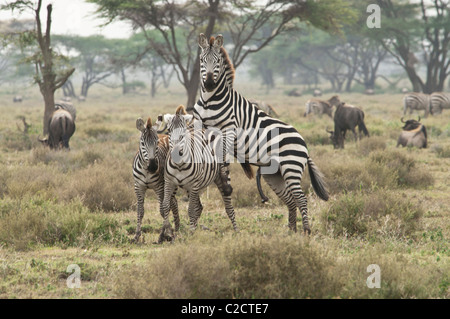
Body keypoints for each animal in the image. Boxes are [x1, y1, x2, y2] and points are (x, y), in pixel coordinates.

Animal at [160, 105, 241, 242]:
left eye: (183, 132)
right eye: (169, 130)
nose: (176, 152)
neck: (179, 164)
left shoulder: (193, 185)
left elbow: (191, 209)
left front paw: (191, 232)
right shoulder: (169, 182)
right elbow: (166, 205)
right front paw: (167, 233)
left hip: (220, 177)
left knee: (228, 206)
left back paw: (236, 230)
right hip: (192, 187)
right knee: (199, 207)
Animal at [192, 34, 328, 235]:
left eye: (217, 62)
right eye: (202, 61)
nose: (209, 84)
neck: (210, 101)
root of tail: (303, 142)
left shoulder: (228, 131)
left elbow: (222, 159)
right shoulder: (199, 129)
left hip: (291, 168)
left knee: (301, 198)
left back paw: (306, 231)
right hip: (275, 175)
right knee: (290, 200)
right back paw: (291, 231)